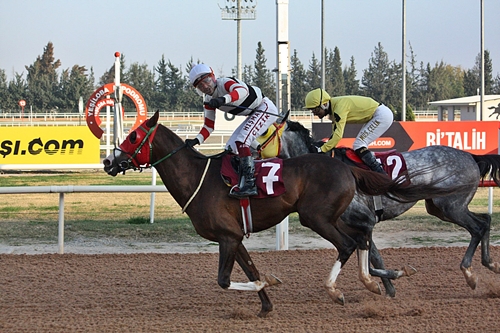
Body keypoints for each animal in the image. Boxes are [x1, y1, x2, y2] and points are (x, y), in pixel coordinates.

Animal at [102, 110, 450, 316]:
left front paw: (267, 284)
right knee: (362, 239)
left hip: (316, 217)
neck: (198, 177)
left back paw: (337, 290)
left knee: (349, 244)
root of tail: (346, 167)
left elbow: (225, 280)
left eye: (133, 136)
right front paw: (266, 303)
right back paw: (373, 282)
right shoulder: (233, 237)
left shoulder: (227, 237)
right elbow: (250, 270)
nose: (108, 161)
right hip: (332, 216)